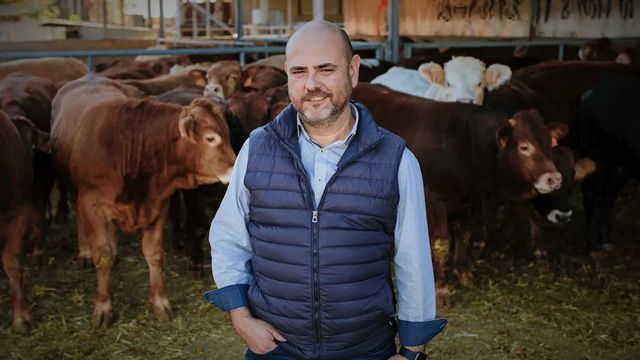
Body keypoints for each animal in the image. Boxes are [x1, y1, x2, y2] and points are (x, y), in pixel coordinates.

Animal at [50, 81, 235, 326]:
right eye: (211, 138)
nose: (237, 167)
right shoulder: (92, 205)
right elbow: (103, 256)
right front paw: (103, 307)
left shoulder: (158, 205)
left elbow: (154, 254)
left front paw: (160, 302)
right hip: (70, 186)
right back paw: (85, 252)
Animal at [352, 83, 568, 306]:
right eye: (524, 146)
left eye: (549, 143)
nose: (554, 178)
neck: (462, 144)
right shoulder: (434, 198)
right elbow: (441, 242)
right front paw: (441, 288)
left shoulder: (468, 200)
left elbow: (464, 234)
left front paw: (463, 273)